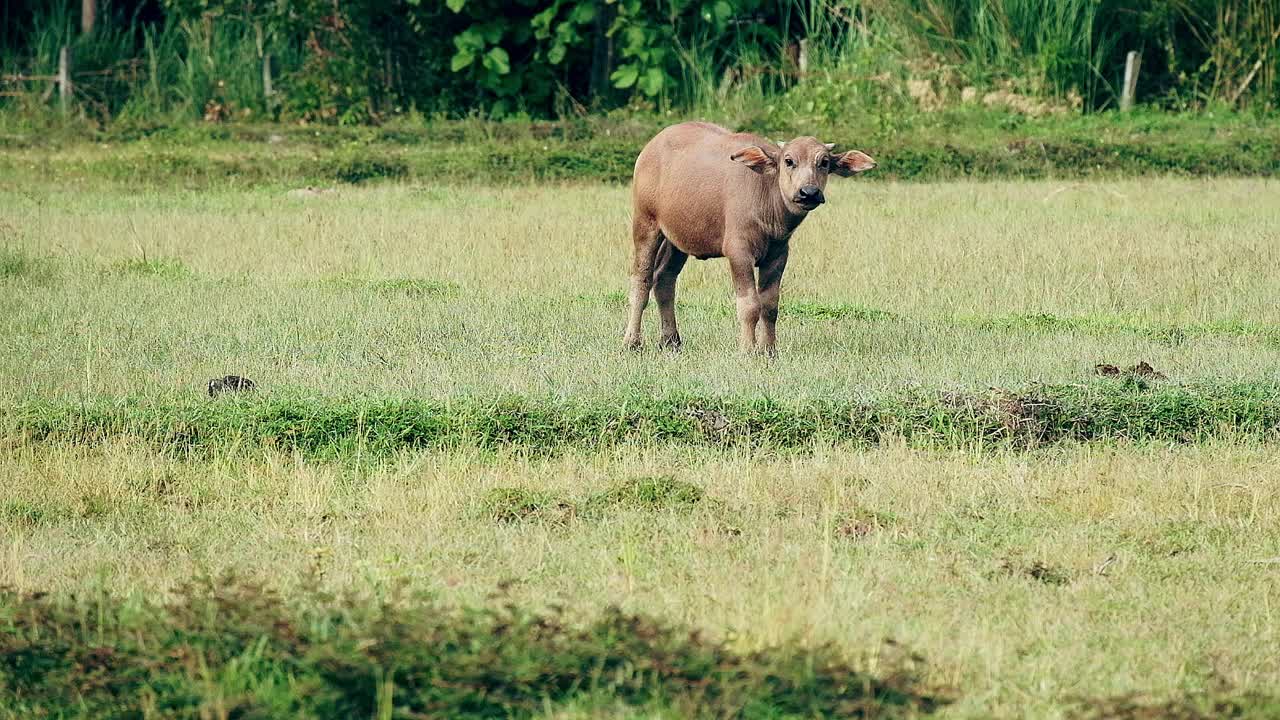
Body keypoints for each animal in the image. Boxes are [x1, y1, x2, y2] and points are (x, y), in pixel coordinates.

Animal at [624, 121, 875, 353]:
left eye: (824, 162)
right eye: (789, 161)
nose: (809, 192)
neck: (767, 200)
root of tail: (650, 147)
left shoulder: (778, 255)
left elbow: (770, 306)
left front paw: (769, 349)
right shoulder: (738, 253)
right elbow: (750, 305)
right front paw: (747, 349)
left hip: (678, 240)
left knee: (664, 280)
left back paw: (671, 340)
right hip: (645, 223)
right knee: (642, 280)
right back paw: (632, 341)